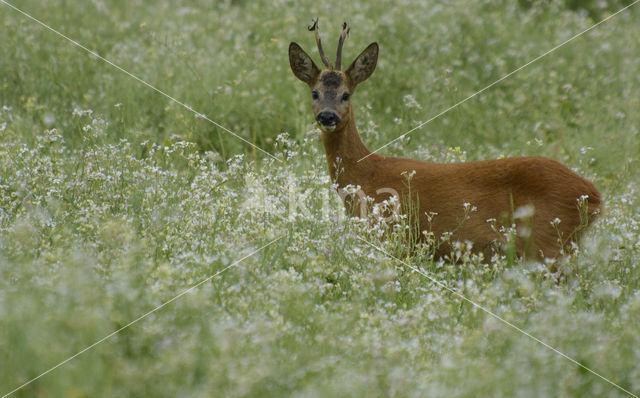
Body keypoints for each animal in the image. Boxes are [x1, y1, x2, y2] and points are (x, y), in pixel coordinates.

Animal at [290, 21, 600, 262]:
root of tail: (595, 196)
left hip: (550, 244)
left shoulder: (392, 236)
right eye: (315, 92)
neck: (365, 174)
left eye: (346, 94)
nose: (327, 116)